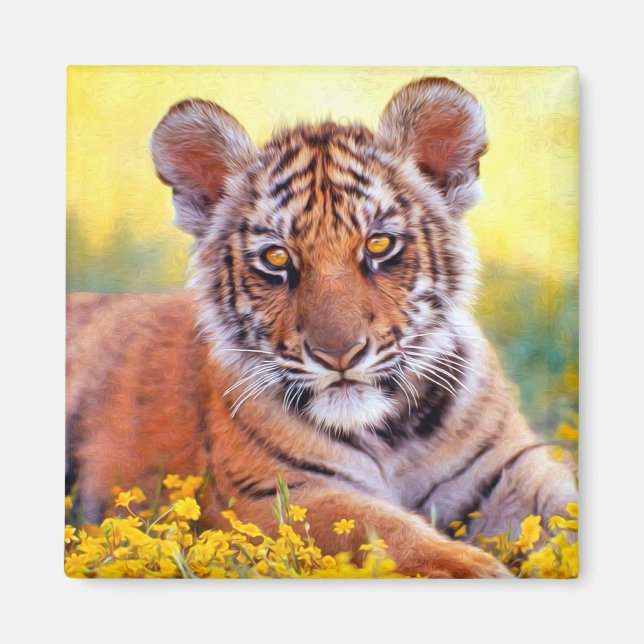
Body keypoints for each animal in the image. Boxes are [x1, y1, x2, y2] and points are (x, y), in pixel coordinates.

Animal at [66, 76, 578, 578]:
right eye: (276, 258)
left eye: (379, 244)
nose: (339, 355)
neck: (393, 434)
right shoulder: (275, 491)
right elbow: (384, 528)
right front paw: (476, 569)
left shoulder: (510, 468)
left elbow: (563, 511)